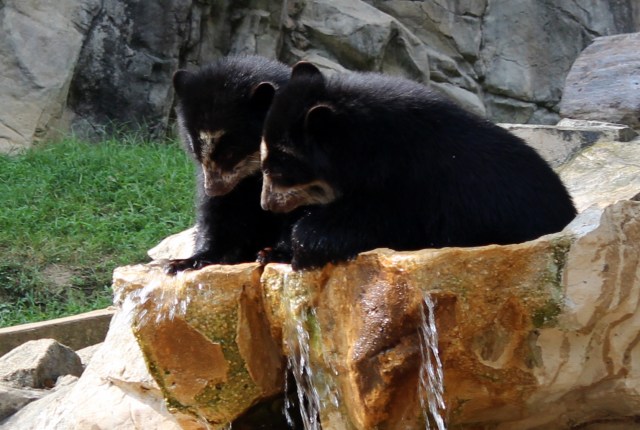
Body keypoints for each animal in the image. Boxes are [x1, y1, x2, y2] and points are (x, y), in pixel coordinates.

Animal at [164, 55, 291, 274]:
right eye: (195, 148)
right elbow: (217, 215)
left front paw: (274, 253)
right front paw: (184, 262)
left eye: (230, 152)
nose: (214, 189)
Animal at [259, 62, 577, 270]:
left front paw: (304, 248)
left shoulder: (413, 183)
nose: (267, 205)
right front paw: (271, 252)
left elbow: (374, 220)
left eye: (279, 169)